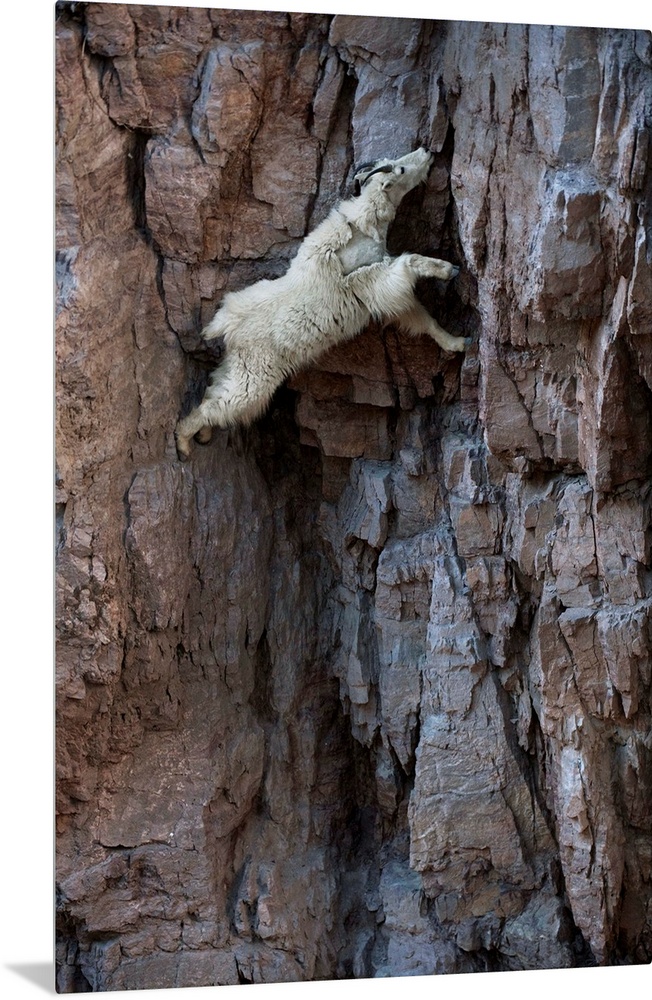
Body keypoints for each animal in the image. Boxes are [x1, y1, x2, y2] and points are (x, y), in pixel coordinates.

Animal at [173, 146, 468, 460]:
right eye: (399, 170)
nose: (426, 151)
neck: (363, 228)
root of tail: (228, 326)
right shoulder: (374, 281)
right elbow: (409, 264)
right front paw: (448, 269)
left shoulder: (384, 291)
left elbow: (422, 318)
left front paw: (458, 342)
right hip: (255, 375)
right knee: (222, 404)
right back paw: (184, 442)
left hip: (238, 366)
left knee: (214, 390)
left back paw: (203, 434)